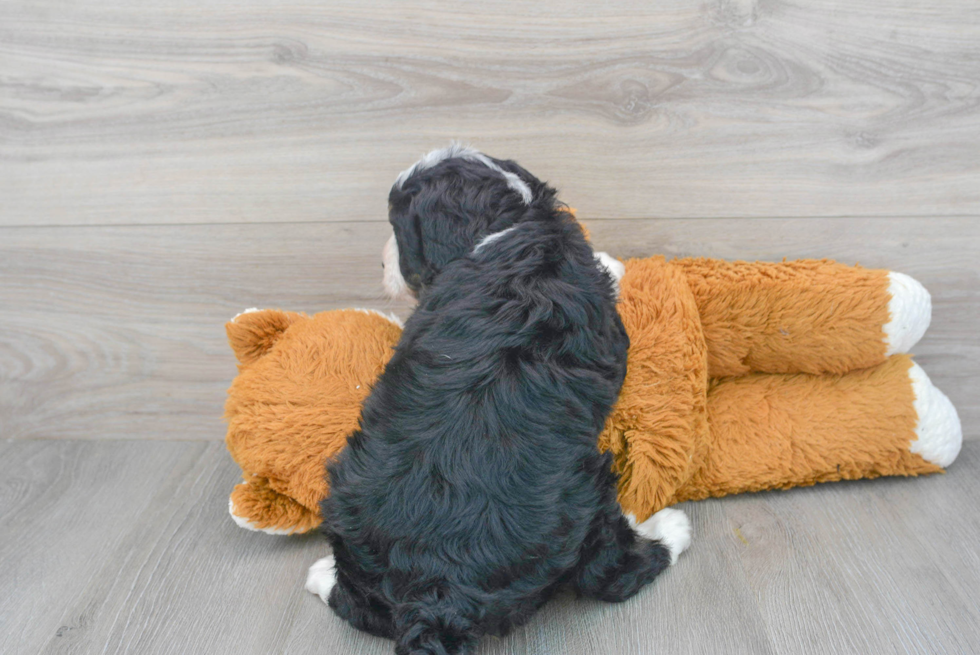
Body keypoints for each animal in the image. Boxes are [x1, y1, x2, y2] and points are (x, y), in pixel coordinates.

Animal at [306, 146, 688, 652]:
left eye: (396, 227)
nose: (382, 268)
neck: (506, 223)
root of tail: (436, 587)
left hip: (348, 507)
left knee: (358, 605)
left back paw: (321, 574)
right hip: (584, 496)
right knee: (610, 571)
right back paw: (670, 529)